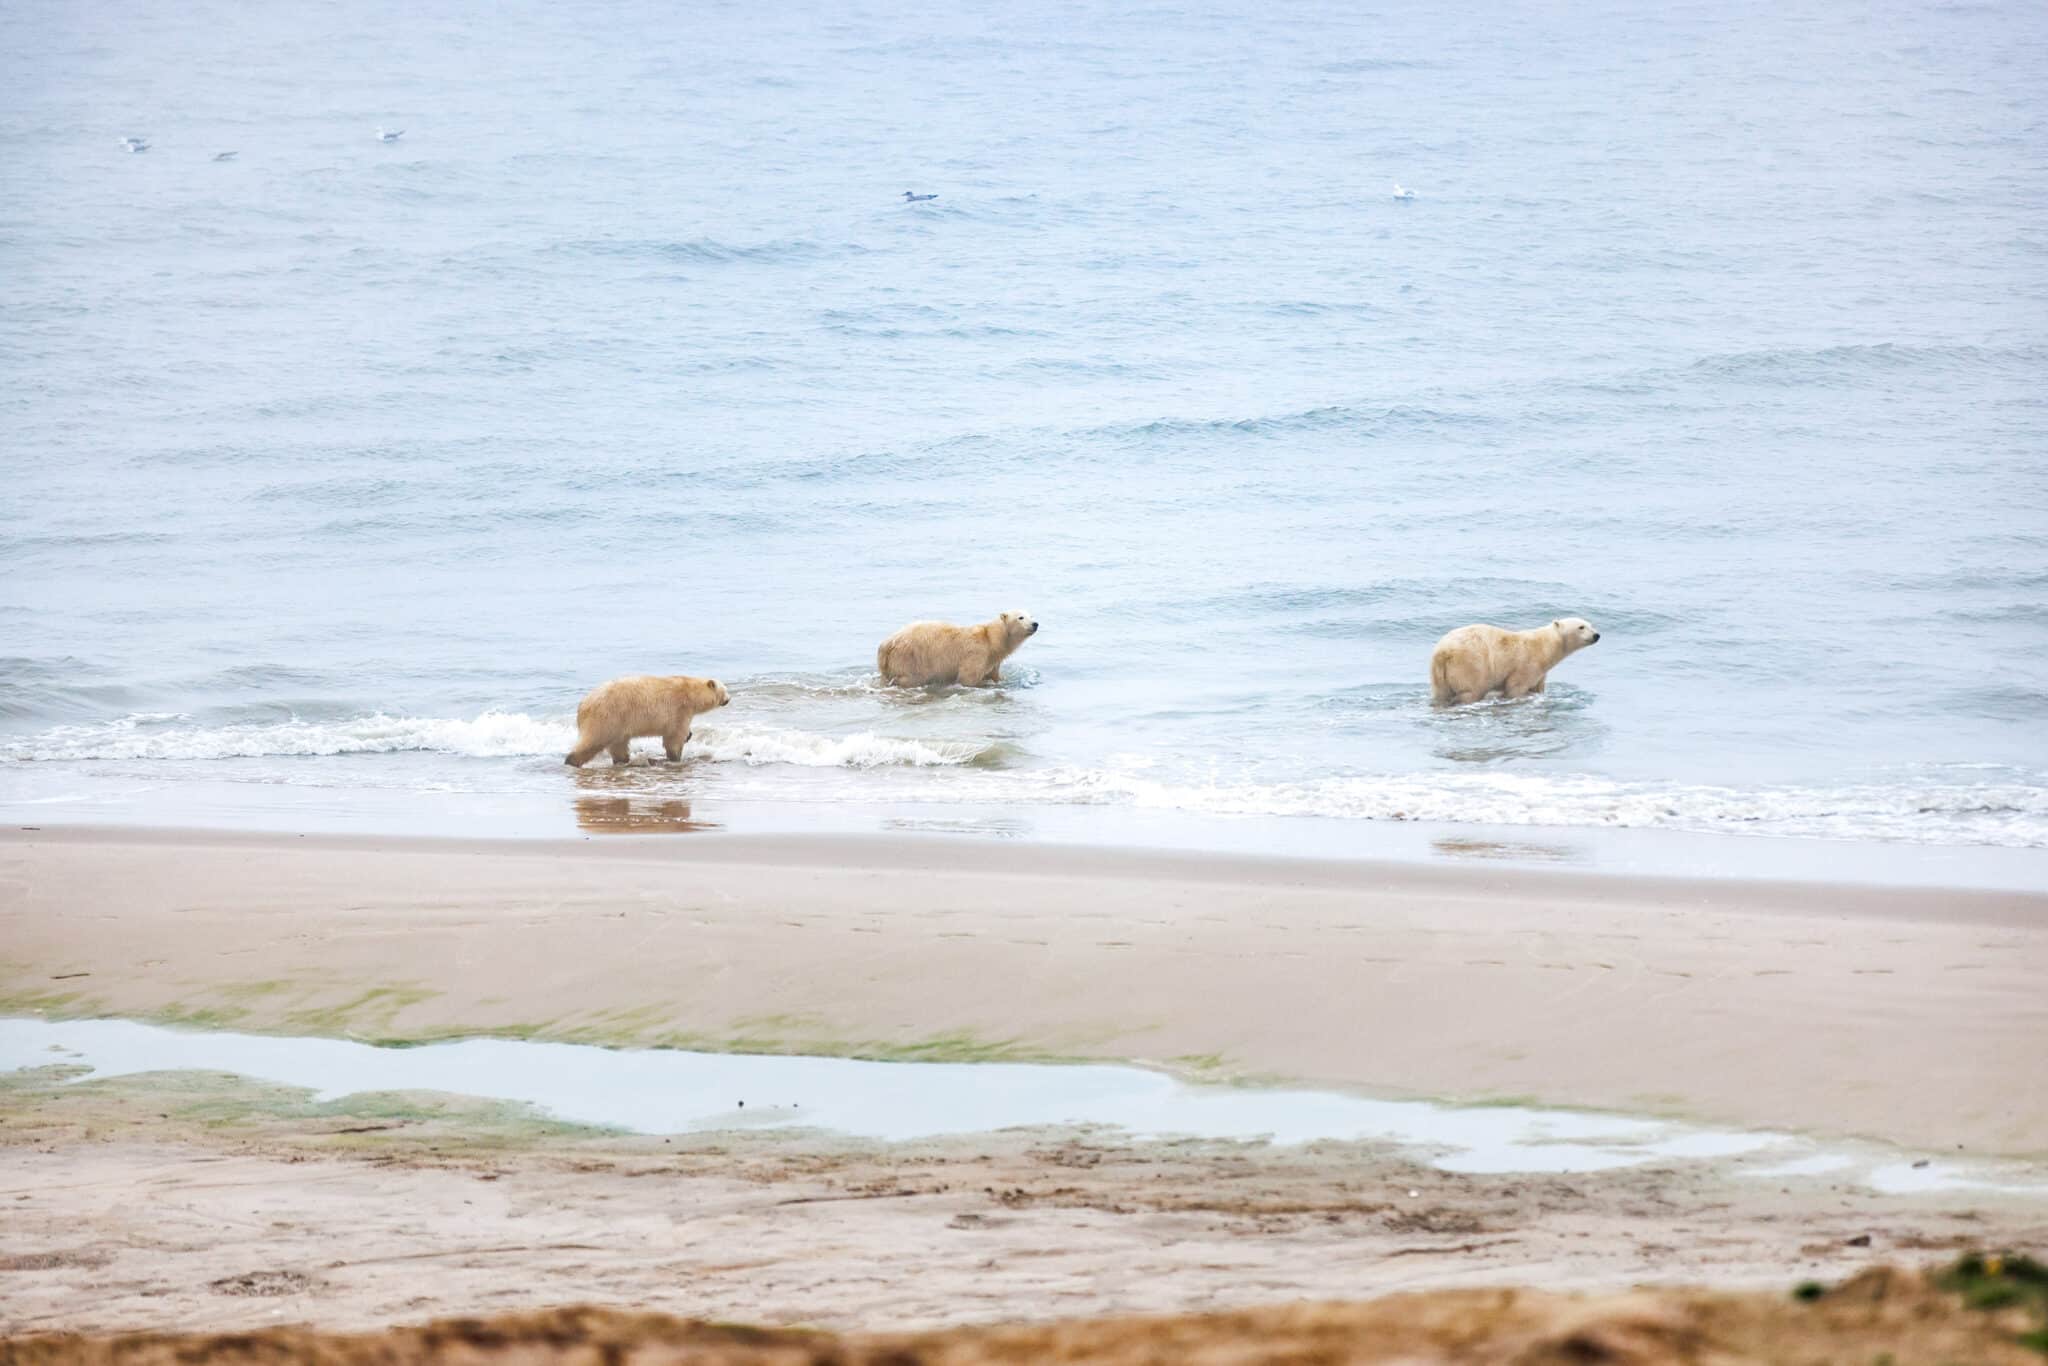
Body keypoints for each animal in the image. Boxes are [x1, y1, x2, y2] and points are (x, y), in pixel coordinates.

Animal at [565, 675, 733, 770]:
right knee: (593, 742)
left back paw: (624, 761)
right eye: (725, 689)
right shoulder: (679, 709)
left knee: (619, 746)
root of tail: (583, 706)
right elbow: (674, 736)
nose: (729, 699)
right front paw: (676, 757)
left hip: (618, 724)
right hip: (607, 717)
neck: (690, 692)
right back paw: (571, 761)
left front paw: (689, 735)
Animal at [880, 610, 1040, 684]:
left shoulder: (992, 660)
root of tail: (886, 645)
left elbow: (994, 675)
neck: (991, 639)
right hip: (910, 658)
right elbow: (968, 677)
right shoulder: (976, 653)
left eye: (1031, 615)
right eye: (1020, 617)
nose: (1035, 624)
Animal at [1425, 618, 1597, 704]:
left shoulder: (1541, 673)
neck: (1544, 646)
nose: (1597, 635)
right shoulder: (1527, 664)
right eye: (1581, 627)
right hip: (1470, 663)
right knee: (1472, 690)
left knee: (1440, 693)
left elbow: (1538, 687)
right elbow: (1515, 687)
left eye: (1591, 625)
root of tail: (1443, 652)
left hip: (1438, 673)